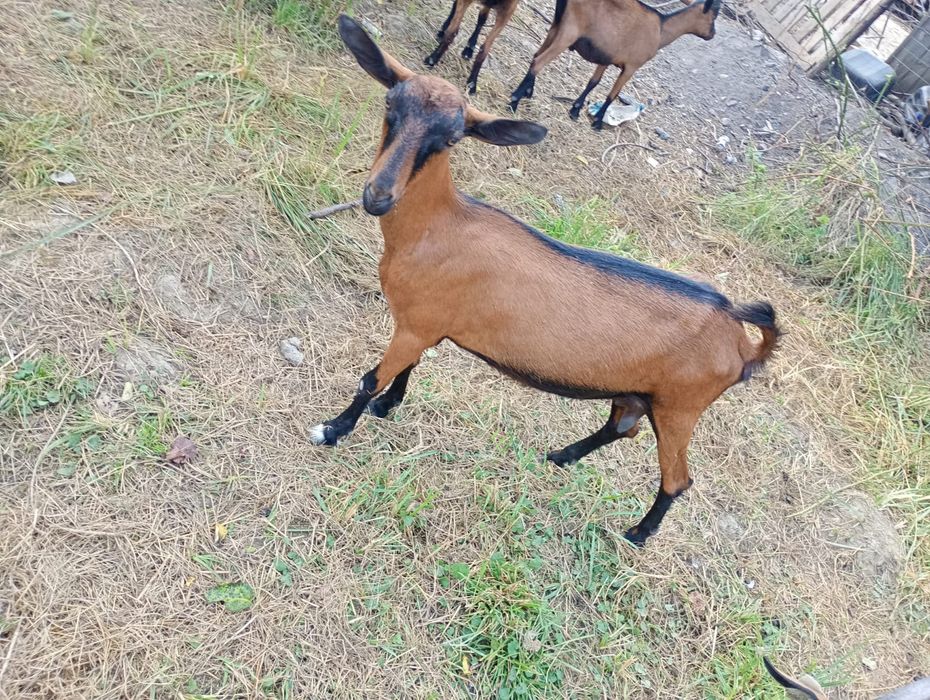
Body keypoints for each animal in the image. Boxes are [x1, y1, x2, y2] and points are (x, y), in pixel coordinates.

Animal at [318, 15, 780, 546]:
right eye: (389, 106)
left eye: (452, 138)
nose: (378, 195)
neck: (439, 227)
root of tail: (742, 343)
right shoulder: (425, 325)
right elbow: (406, 370)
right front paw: (388, 407)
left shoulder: (418, 324)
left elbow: (371, 378)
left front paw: (333, 430)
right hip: (639, 392)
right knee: (623, 427)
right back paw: (561, 456)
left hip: (681, 407)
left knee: (677, 479)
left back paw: (637, 533)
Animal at [509, 0, 722, 129]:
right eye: (714, 14)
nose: (712, 35)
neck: (661, 29)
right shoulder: (632, 66)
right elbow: (613, 93)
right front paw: (597, 123)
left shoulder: (606, 57)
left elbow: (593, 82)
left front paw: (575, 110)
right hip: (569, 32)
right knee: (539, 61)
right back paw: (514, 101)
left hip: (557, 25)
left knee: (536, 55)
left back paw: (528, 92)